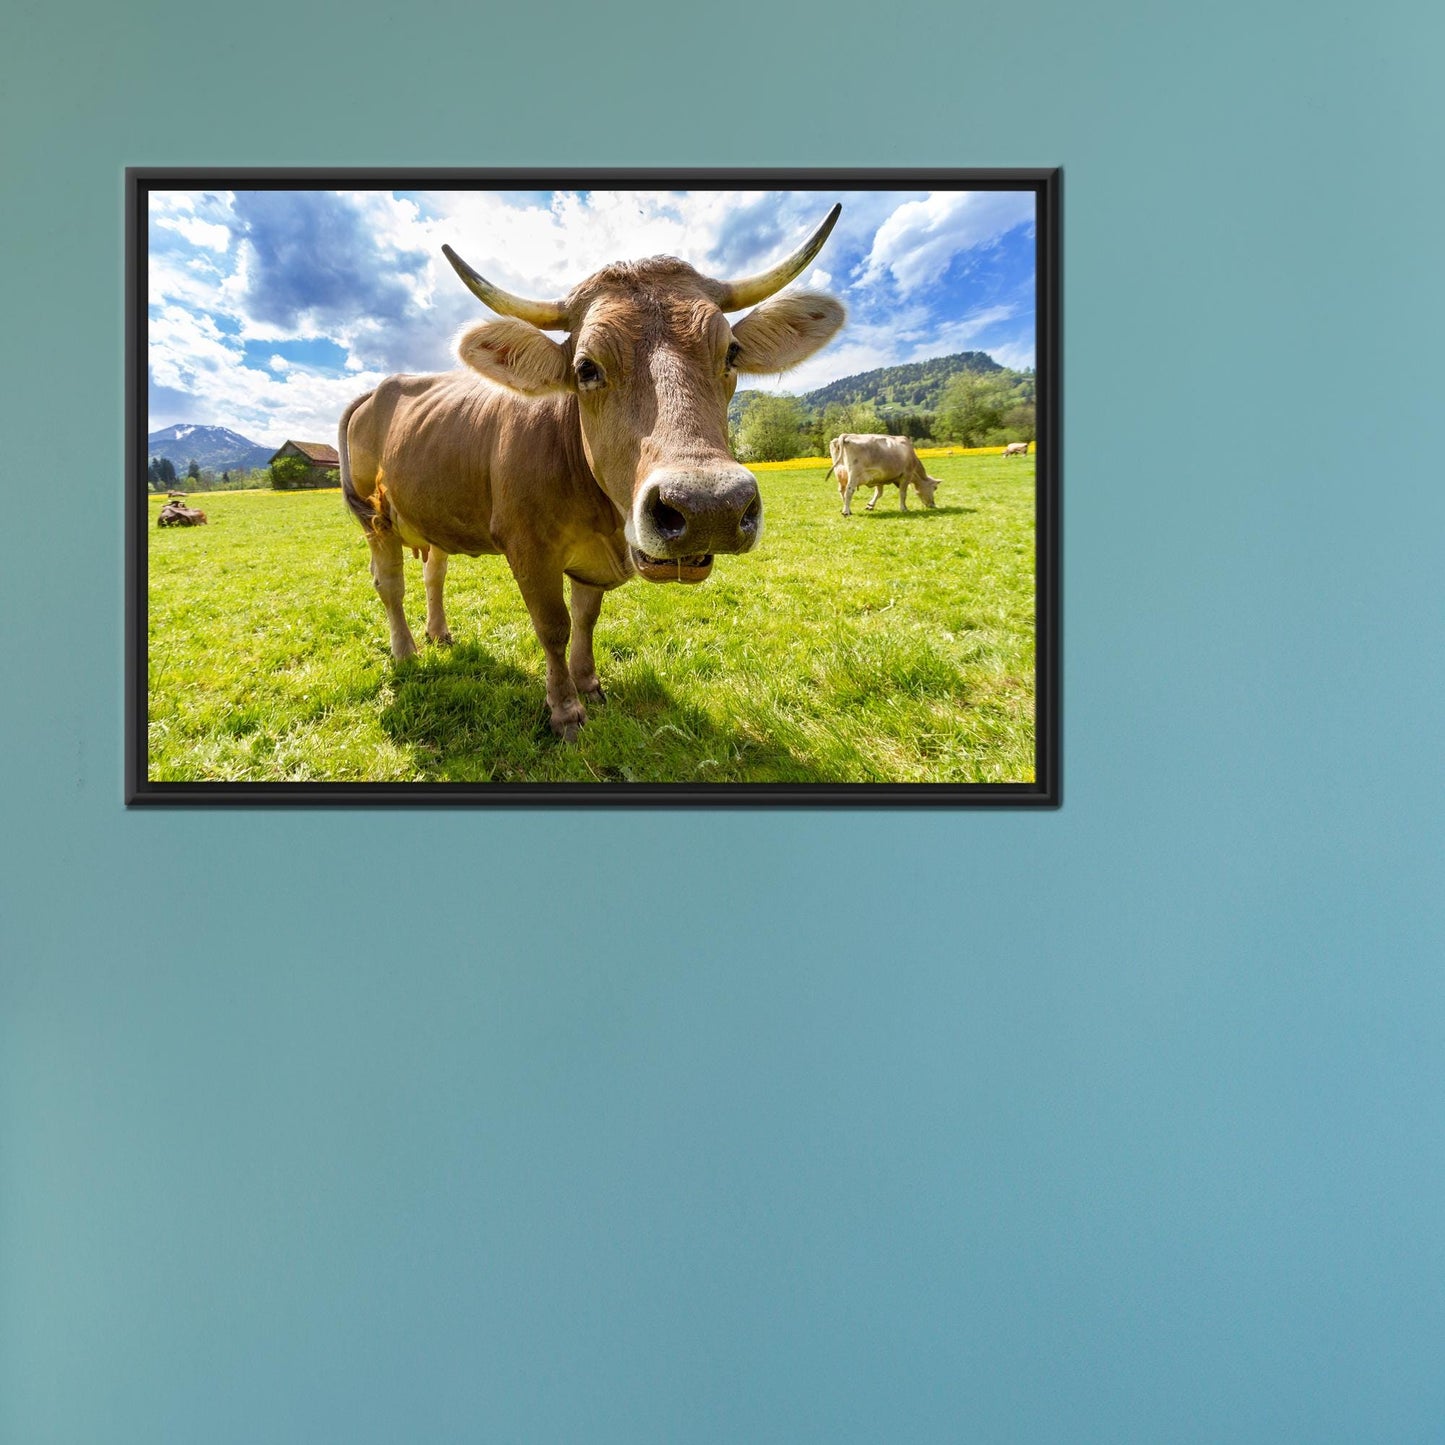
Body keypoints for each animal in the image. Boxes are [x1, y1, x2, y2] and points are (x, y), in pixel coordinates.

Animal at [339, 207, 846, 739]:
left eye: (731, 352)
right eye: (586, 368)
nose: (710, 507)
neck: (602, 518)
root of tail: (381, 387)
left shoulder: (590, 562)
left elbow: (586, 619)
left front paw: (589, 685)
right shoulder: (528, 548)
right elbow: (553, 626)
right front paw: (565, 709)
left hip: (432, 512)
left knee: (433, 572)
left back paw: (439, 634)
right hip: (375, 519)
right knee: (389, 584)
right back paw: (406, 652)